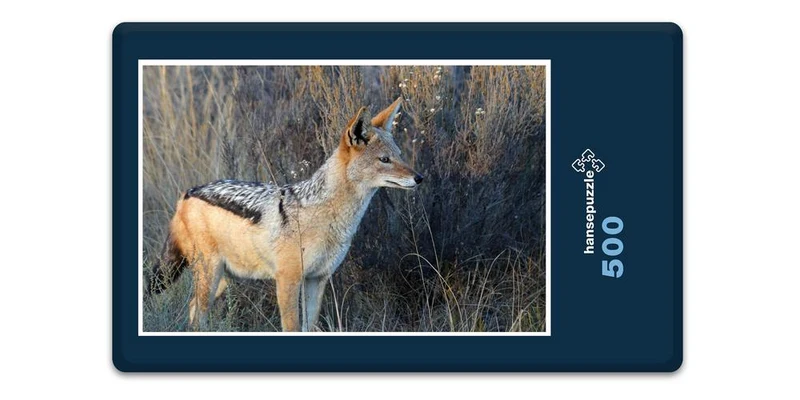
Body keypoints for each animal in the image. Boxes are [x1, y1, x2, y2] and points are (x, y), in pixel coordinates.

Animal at [148, 97, 423, 332]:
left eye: (399, 156)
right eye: (384, 160)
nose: (419, 178)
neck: (330, 219)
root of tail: (187, 193)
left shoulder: (317, 279)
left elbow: (309, 326)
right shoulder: (287, 281)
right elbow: (292, 327)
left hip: (222, 280)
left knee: (193, 309)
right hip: (210, 275)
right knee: (197, 316)